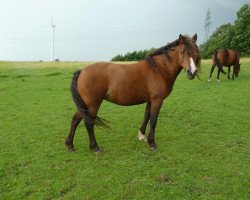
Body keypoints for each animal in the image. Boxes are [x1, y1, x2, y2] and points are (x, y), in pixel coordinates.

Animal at [65, 34, 201, 153]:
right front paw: (152, 143)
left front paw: (141, 135)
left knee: (75, 119)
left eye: (195, 52)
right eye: (182, 52)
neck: (159, 69)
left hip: (85, 105)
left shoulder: (150, 100)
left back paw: (70, 145)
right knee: (88, 123)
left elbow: (147, 116)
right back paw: (95, 148)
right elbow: (153, 120)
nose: (192, 72)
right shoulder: (157, 100)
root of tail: (82, 71)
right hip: (92, 104)